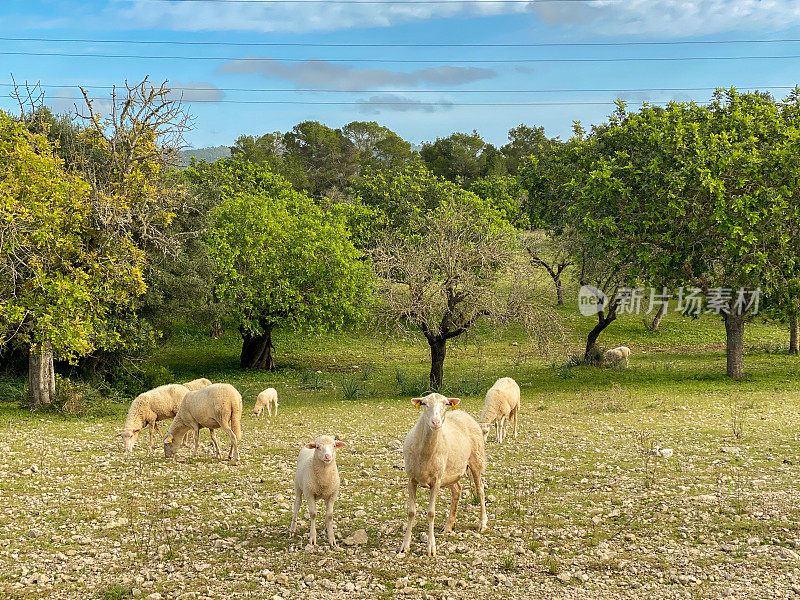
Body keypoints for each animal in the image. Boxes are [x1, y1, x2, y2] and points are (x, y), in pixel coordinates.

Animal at [398, 394, 488, 556]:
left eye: (446, 404)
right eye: (424, 403)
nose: (436, 422)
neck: (425, 453)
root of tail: (463, 413)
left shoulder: (436, 481)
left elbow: (431, 513)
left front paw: (431, 547)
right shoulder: (411, 479)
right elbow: (411, 512)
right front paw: (405, 545)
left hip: (476, 459)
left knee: (480, 490)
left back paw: (482, 523)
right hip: (451, 471)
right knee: (457, 490)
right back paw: (448, 525)